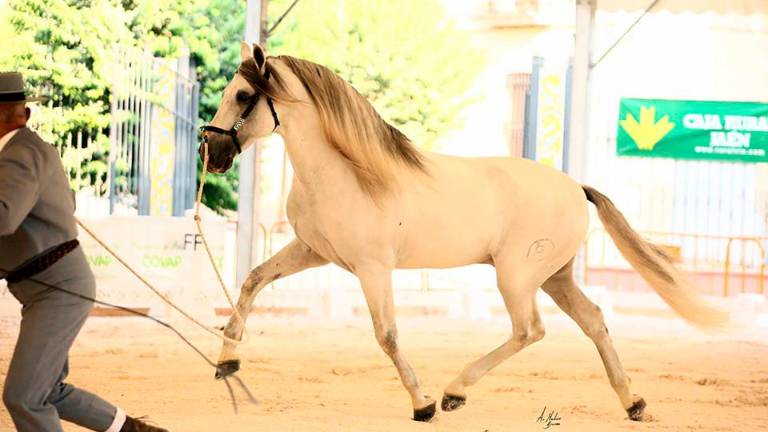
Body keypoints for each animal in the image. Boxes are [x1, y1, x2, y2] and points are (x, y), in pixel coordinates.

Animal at [200, 43, 728, 422]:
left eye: (243, 96)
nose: (212, 153)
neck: (347, 172)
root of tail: (576, 187)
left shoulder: (373, 268)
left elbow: (387, 335)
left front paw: (422, 404)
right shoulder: (313, 250)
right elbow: (253, 279)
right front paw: (227, 362)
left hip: (517, 276)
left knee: (529, 330)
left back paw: (455, 392)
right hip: (554, 276)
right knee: (594, 320)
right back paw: (633, 403)